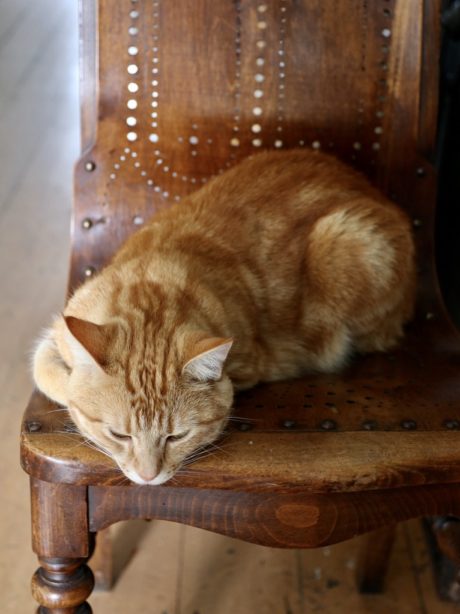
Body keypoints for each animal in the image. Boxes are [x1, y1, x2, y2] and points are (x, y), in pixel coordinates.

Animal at [31, 149, 414, 486]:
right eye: (119, 435)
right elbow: (44, 369)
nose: (148, 476)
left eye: (177, 436)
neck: (151, 280)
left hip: (346, 243)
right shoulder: (61, 329)